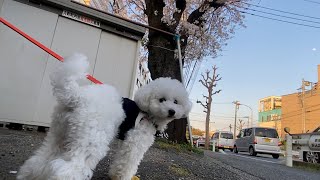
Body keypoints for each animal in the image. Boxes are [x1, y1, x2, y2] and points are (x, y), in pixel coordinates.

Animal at [17, 53, 191, 180]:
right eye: (162, 100)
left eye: (176, 101)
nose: (172, 111)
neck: (148, 113)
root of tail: (77, 96)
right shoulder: (135, 144)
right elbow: (128, 163)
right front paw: (123, 177)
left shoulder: (126, 142)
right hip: (91, 140)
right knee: (69, 169)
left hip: (59, 133)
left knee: (40, 161)